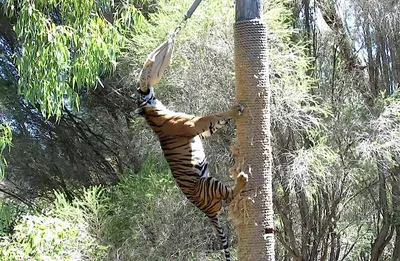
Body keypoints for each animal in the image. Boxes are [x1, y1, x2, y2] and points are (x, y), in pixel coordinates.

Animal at [134, 86, 247, 258]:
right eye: (139, 93)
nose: (140, 87)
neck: (155, 113)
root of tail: (206, 212)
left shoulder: (203, 132)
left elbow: (217, 122)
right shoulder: (194, 124)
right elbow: (214, 116)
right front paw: (233, 110)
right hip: (206, 182)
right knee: (229, 196)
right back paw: (242, 179)